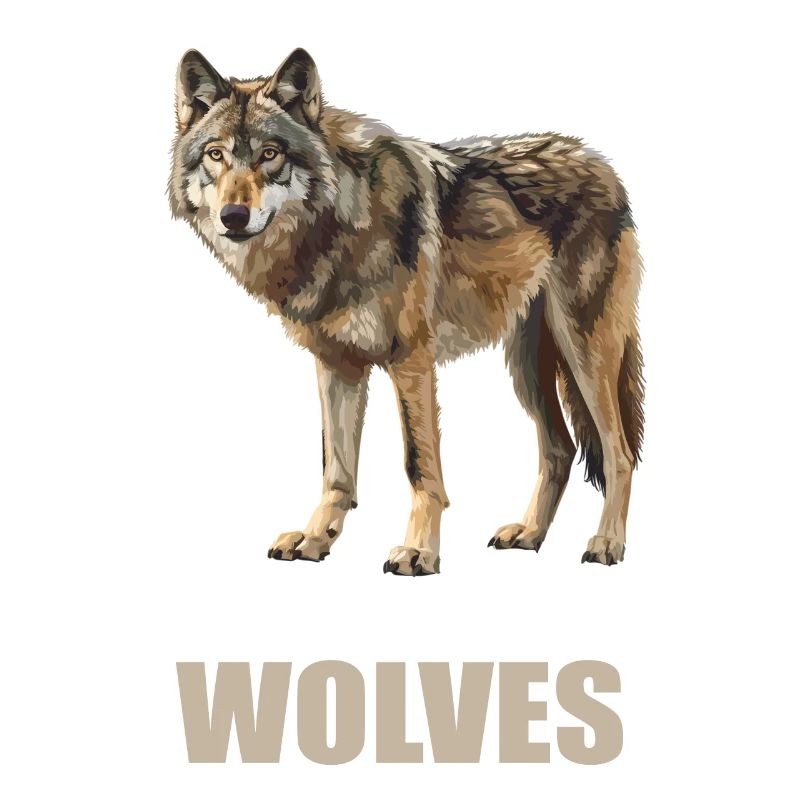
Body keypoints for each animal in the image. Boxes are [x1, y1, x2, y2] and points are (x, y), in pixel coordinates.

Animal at [169, 48, 644, 575]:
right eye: (216, 155)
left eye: (270, 154)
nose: (233, 217)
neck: (341, 226)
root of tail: (602, 164)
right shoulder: (337, 364)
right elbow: (336, 469)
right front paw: (316, 539)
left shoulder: (411, 360)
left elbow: (419, 466)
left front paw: (420, 551)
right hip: (527, 367)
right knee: (560, 449)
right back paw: (529, 534)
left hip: (584, 353)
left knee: (619, 453)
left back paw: (607, 543)